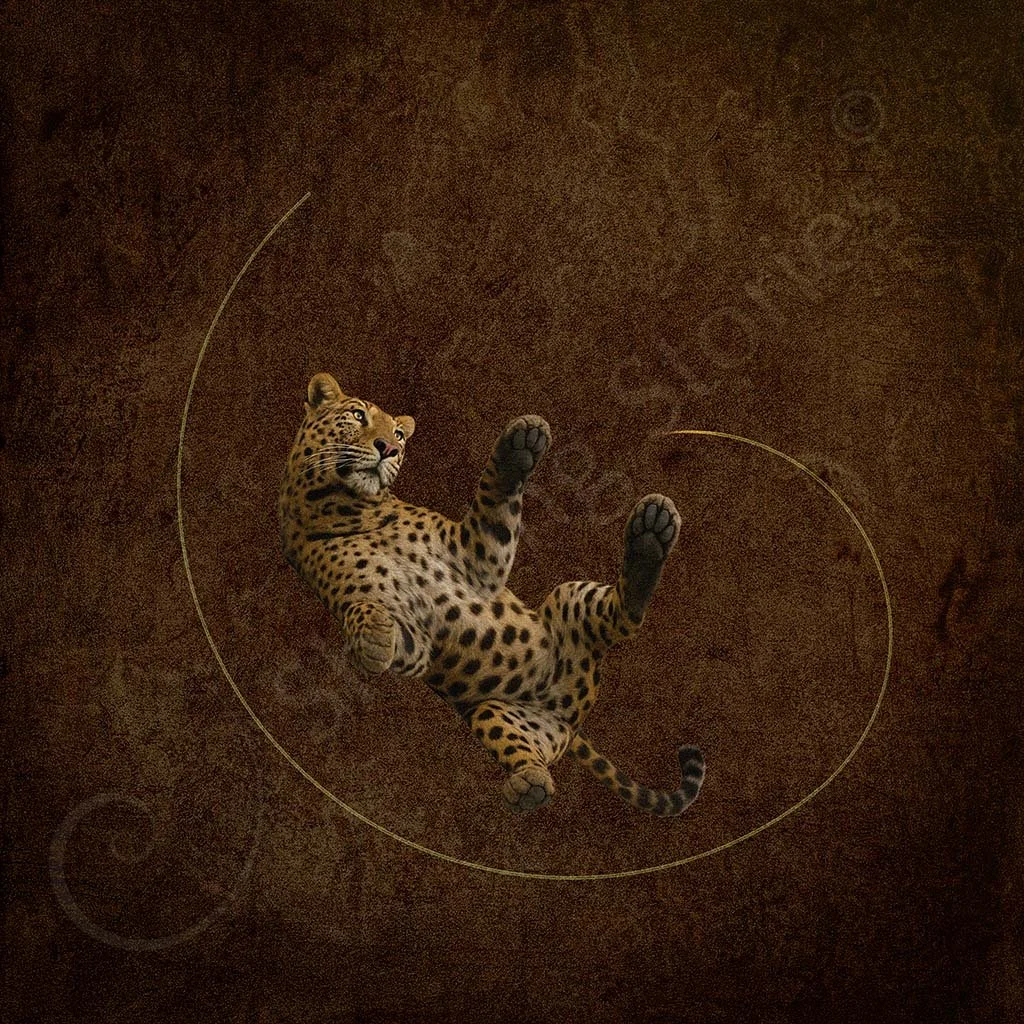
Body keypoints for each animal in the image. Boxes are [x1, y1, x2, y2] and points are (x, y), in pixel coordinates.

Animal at [278, 372, 706, 816]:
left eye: (397, 433)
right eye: (358, 416)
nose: (389, 448)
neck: (346, 508)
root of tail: (573, 714)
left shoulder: (475, 558)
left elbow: (493, 495)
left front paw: (523, 441)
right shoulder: (417, 638)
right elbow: (366, 613)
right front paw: (374, 640)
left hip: (569, 596)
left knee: (625, 618)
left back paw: (651, 530)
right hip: (495, 713)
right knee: (531, 750)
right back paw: (528, 785)